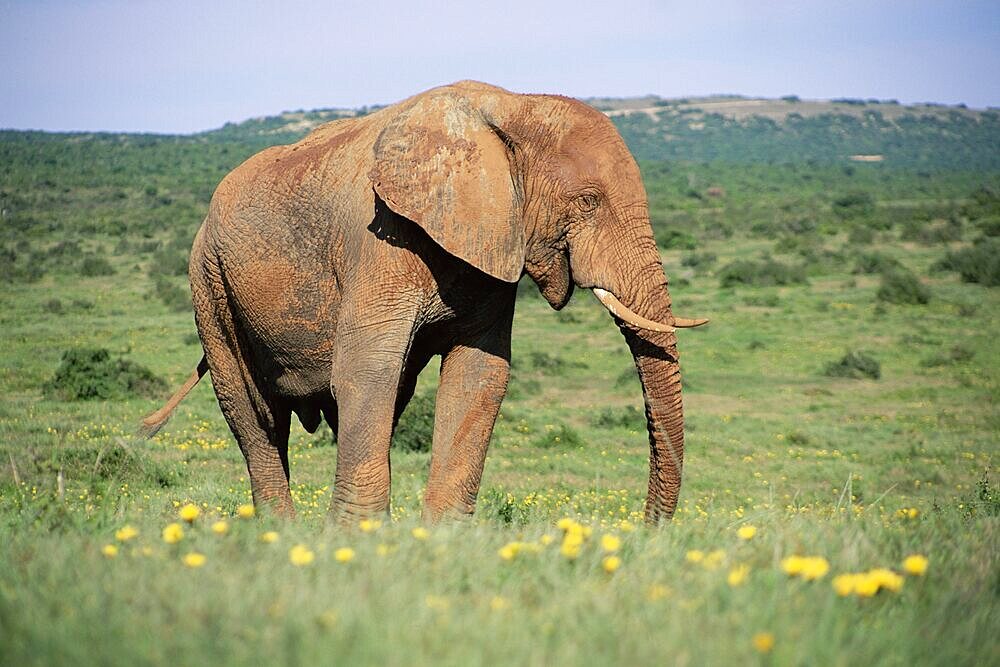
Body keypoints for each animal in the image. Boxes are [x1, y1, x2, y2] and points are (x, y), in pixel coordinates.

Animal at [141, 81, 708, 524]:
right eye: (588, 202)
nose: (646, 531)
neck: (512, 106)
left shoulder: (493, 243)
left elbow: (479, 374)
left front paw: (440, 540)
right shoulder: (379, 239)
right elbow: (367, 369)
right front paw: (358, 541)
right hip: (208, 282)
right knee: (253, 413)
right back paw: (277, 535)